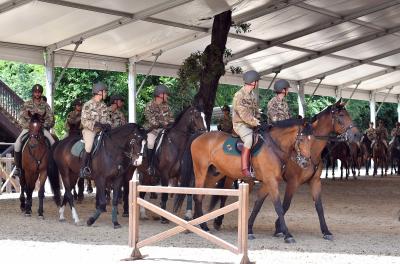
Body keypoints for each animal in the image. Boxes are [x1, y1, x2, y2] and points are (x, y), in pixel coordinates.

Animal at [177, 119, 314, 243]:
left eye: (311, 140)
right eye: (301, 139)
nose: (305, 162)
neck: (273, 147)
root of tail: (200, 136)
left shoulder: (267, 183)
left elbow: (257, 206)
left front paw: (249, 230)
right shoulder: (271, 182)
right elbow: (278, 207)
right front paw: (288, 235)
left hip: (213, 175)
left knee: (202, 193)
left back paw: (198, 223)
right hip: (201, 171)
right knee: (198, 196)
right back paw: (204, 226)